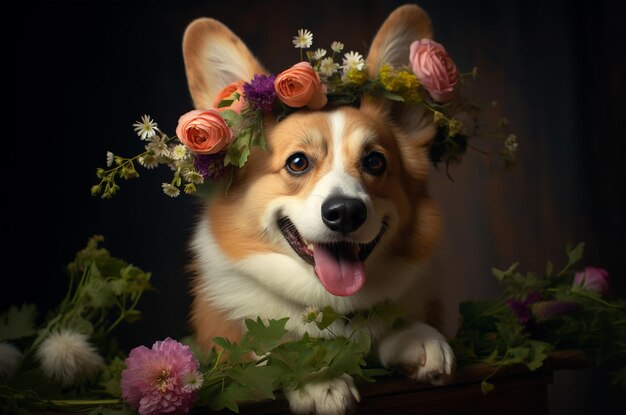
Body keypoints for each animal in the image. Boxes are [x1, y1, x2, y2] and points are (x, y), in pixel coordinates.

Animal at [183, 4, 450, 414]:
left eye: (375, 162)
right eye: (297, 163)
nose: (346, 212)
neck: (330, 307)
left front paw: (418, 337)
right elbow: (267, 350)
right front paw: (316, 376)